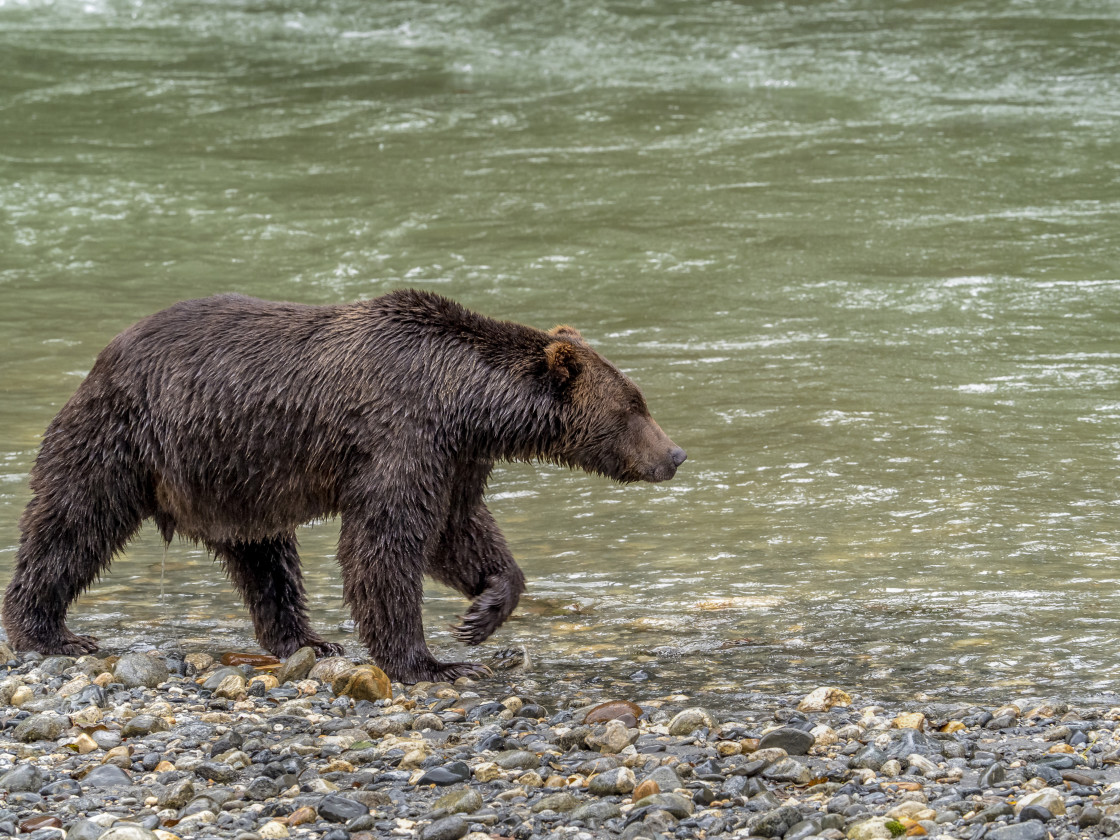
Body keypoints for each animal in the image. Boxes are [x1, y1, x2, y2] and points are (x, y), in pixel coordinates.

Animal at [0, 288, 685, 685]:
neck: (468, 402)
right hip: (124, 437)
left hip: (237, 477)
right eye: (635, 405)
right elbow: (386, 543)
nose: (675, 455)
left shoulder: (455, 456)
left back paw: (306, 639)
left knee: (266, 560)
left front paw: (484, 610)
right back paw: (49, 631)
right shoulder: (403, 433)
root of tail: (105, 353)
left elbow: (458, 530)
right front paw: (430, 661)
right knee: (71, 522)